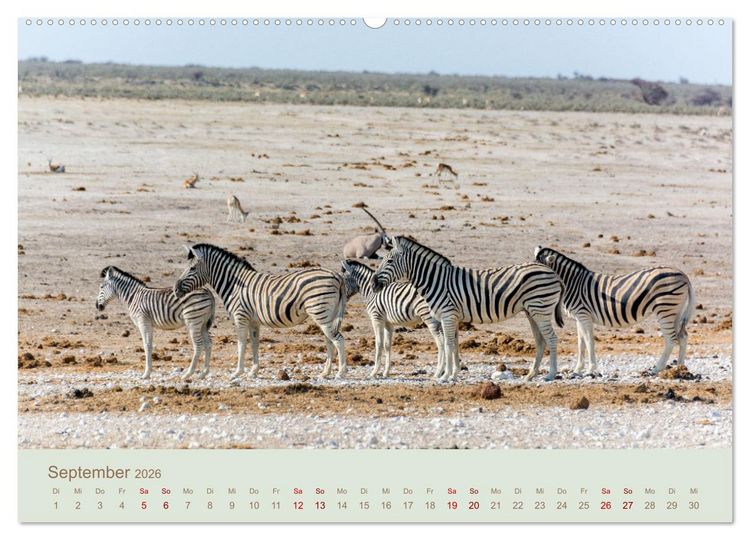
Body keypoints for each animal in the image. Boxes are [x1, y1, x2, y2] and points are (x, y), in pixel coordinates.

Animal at [173, 243, 348, 379]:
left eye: (192, 268)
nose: (175, 289)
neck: (234, 285)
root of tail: (336, 275)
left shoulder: (240, 317)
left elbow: (241, 344)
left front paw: (237, 372)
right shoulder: (253, 322)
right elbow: (254, 344)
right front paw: (253, 371)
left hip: (320, 311)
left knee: (338, 339)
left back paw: (341, 372)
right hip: (327, 313)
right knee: (329, 340)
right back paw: (326, 372)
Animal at [371, 236, 564, 382]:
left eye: (389, 260)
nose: (373, 284)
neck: (435, 280)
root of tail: (551, 271)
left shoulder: (447, 315)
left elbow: (448, 344)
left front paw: (445, 376)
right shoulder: (452, 317)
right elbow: (454, 344)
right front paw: (454, 374)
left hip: (541, 309)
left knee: (552, 338)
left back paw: (550, 375)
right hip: (532, 311)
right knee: (540, 341)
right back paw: (530, 375)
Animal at [534, 246, 695, 376]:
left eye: (540, 272)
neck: (573, 284)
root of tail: (682, 274)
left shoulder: (584, 315)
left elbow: (589, 341)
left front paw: (590, 369)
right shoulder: (579, 317)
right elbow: (581, 343)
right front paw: (577, 369)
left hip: (665, 309)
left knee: (671, 339)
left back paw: (657, 368)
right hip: (676, 311)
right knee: (682, 336)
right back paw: (680, 369)